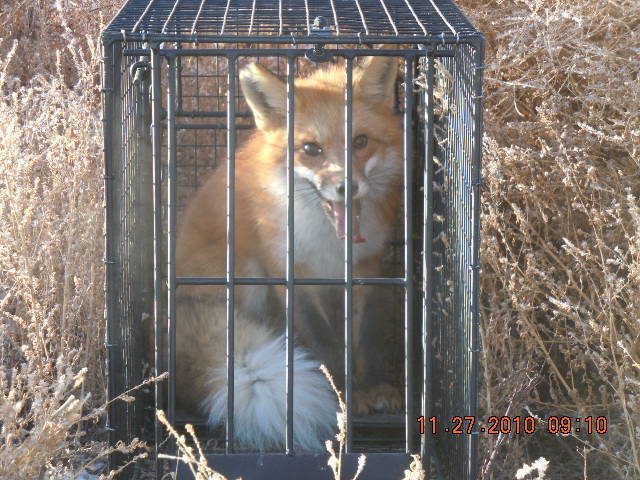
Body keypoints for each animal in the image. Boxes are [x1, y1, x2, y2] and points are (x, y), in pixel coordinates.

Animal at [175, 53, 404, 452]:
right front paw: (345, 397)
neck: (330, 245)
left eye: (360, 141)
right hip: (246, 272)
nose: (348, 187)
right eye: (312, 149)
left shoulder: (367, 268)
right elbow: (325, 343)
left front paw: (374, 388)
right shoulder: (290, 270)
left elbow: (365, 338)